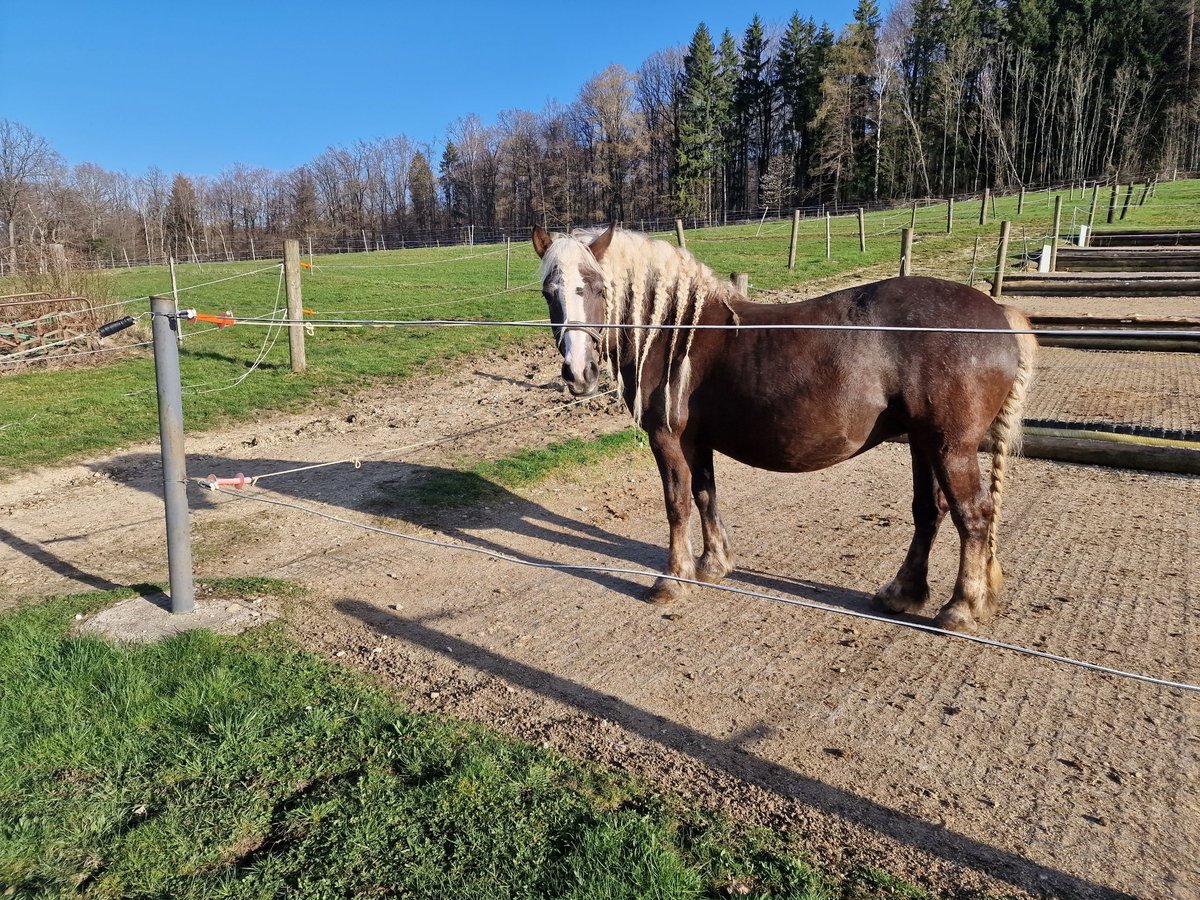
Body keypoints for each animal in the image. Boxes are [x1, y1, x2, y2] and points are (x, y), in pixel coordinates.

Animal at [530, 225, 1036, 633]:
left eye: (596, 287)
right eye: (549, 292)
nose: (577, 373)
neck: (678, 330)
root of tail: (1000, 316)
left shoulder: (668, 439)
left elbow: (677, 504)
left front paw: (672, 581)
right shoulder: (697, 441)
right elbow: (705, 495)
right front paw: (713, 564)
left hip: (951, 446)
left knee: (974, 515)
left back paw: (961, 607)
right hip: (922, 442)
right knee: (929, 511)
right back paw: (902, 593)